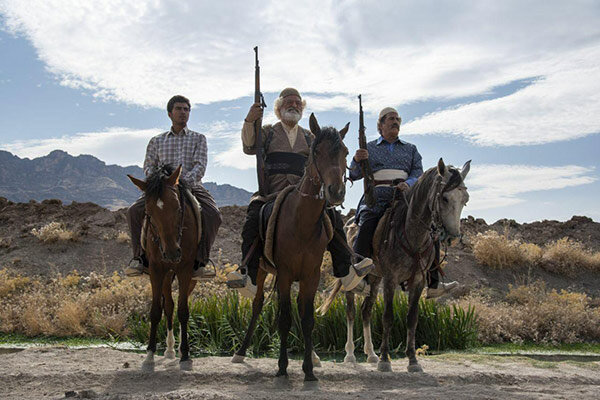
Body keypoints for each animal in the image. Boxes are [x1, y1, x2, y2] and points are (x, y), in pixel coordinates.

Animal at [128, 163, 199, 372]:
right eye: (149, 213)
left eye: (178, 208)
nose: (172, 253)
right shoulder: (156, 271)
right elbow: (156, 311)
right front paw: (149, 356)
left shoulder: (185, 271)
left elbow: (183, 311)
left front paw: (186, 356)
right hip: (167, 275)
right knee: (168, 305)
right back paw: (169, 350)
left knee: (179, 304)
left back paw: (179, 349)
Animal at [322, 160, 472, 376]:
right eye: (444, 198)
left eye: (465, 200)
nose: (452, 236)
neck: (411, 234)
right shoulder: (391, 279)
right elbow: (387, 316)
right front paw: (386, 360)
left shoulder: (417, 280)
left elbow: (412, 318)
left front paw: (413, 361)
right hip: (355, 282)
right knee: (350, 312)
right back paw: (350, 355)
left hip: (375, 278)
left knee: (366, 311)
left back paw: (371, 354)